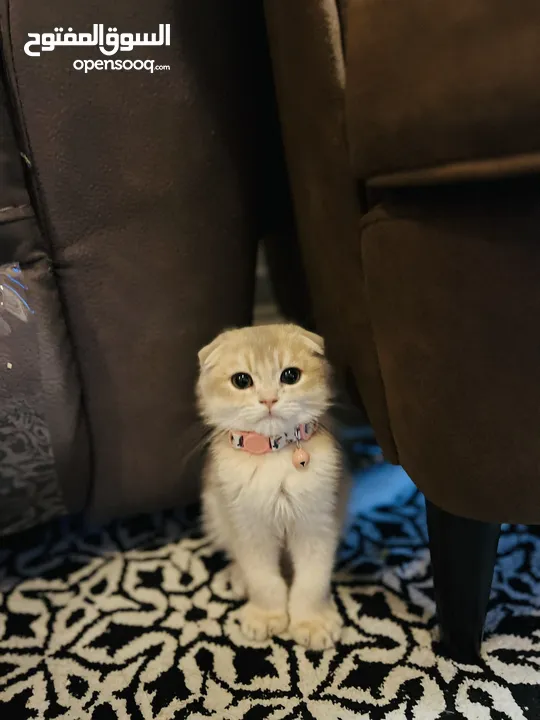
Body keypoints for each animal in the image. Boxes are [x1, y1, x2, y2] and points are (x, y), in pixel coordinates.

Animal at [196, 324, 348, 648]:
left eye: (290, 375)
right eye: (241, 380)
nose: (268, 399)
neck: (273, 455)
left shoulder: (317, 523)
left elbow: (311, 580)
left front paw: (311, 621)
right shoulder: (249, 527)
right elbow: (263, 579)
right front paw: (267, 616)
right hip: (215, 513)